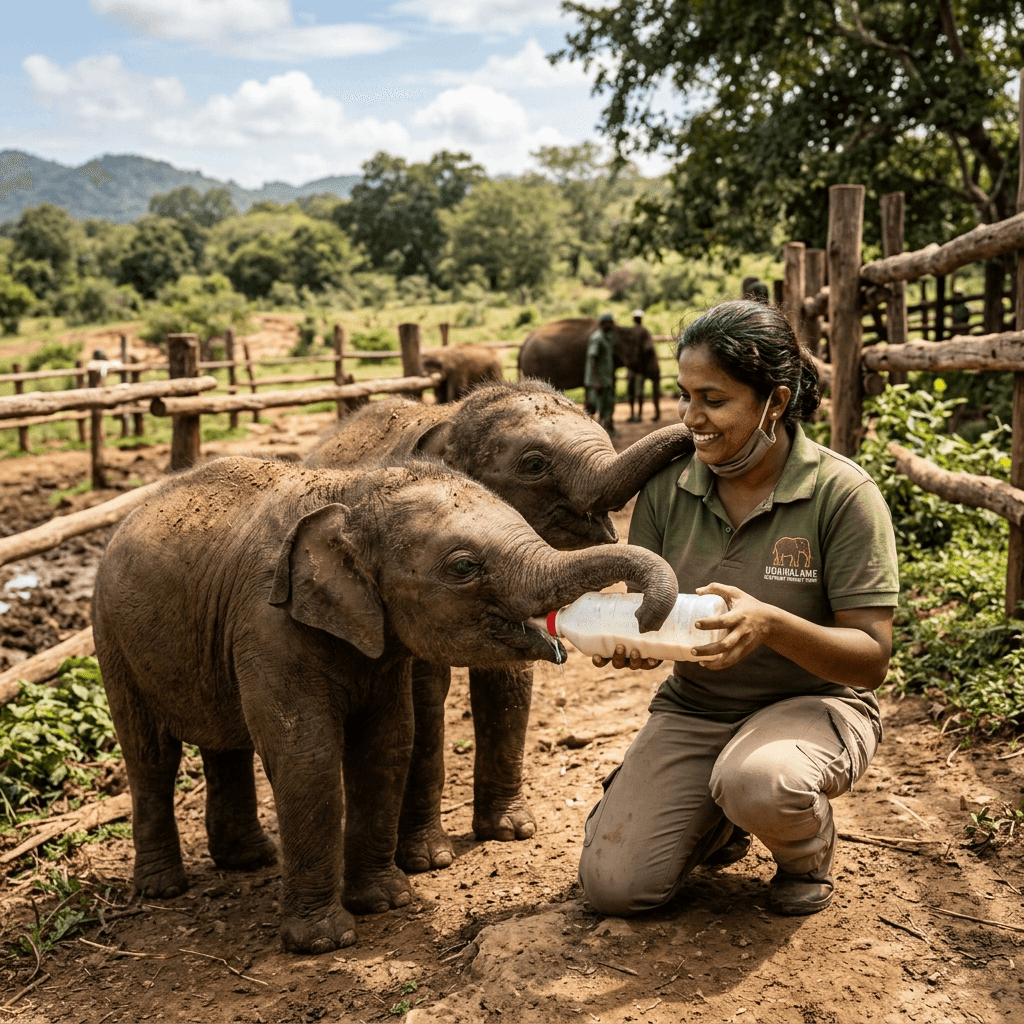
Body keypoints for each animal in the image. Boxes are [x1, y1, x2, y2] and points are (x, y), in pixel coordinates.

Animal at [92, 455, 679, 954]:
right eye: (462, 567)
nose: (641, 617)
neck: (351, 494)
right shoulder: (267, 624)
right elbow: (308, 758)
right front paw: (324, 942)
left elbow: (388, 742)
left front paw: (386, 902)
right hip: (111, 640)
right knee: (150, 756)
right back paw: (163, 889)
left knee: (224, 743)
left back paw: (249, 860)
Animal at [304, 379, 694, 872]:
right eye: (534, 464)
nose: (694, 436)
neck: (450, 418)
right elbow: (424, 696)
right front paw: (428, 859)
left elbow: (509, 680)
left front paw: (513, 831)